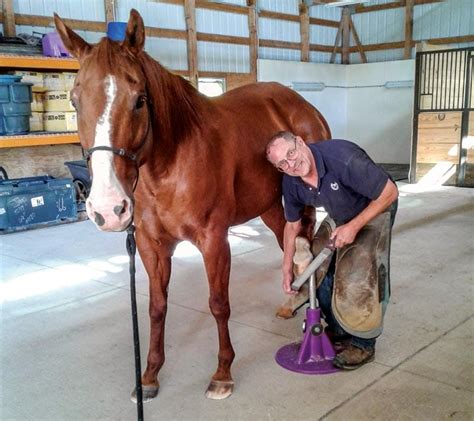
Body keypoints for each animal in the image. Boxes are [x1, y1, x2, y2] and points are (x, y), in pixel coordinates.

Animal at [54, 7, 330, 400]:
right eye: (74, 100)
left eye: (139, 100)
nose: (108, 208)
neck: (169, 166)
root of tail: (303, 107)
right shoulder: (151, 245)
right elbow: (156, 307)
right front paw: (149, 375)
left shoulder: (214, 240)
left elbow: (218, 304)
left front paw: (223, 372)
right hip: (270, 207)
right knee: (292, 245)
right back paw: (292, 302)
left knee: (305, 247)